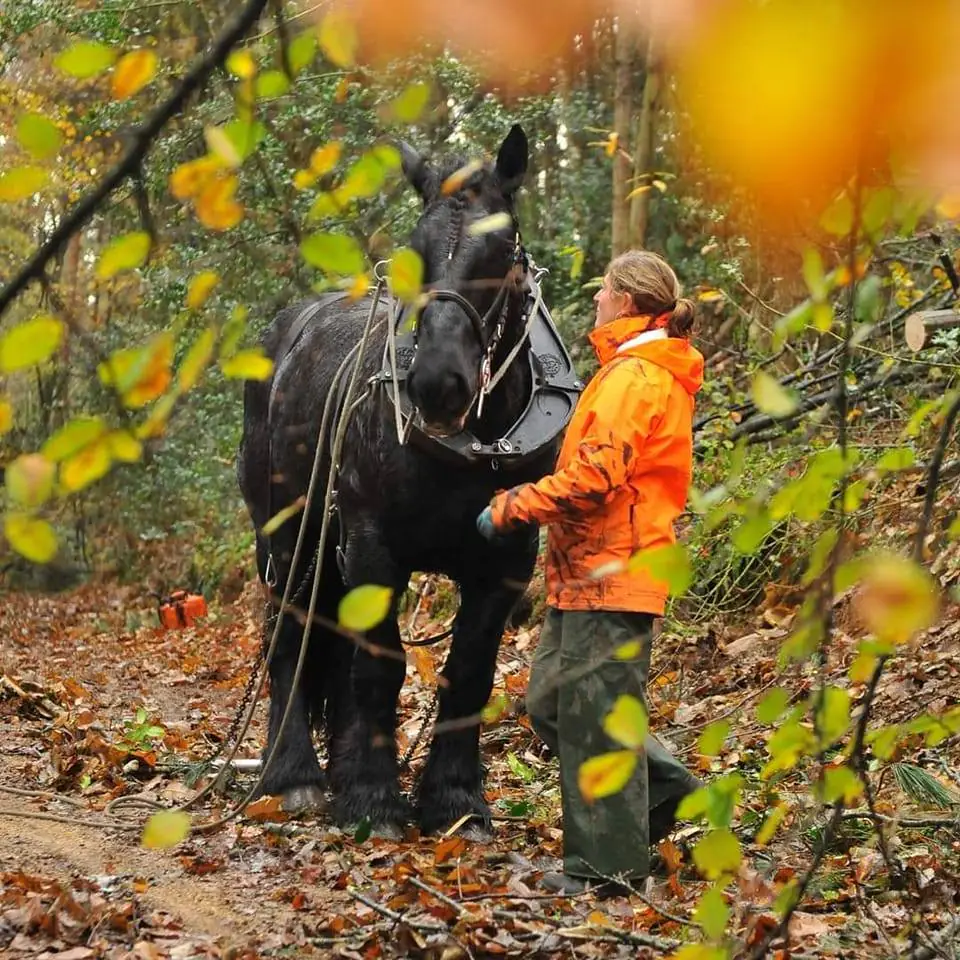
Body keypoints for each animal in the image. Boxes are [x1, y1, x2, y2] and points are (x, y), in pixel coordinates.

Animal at [238, 124, 576, 836]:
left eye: (501, 252)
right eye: (412, 254)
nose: (437, 382)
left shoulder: (505, 562)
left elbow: (469, 671)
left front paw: (455, 801)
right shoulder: (372, 545)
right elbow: (378, 664)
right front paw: (373, 800)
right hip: (287, 539)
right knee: (288, 638)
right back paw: (294, 775)